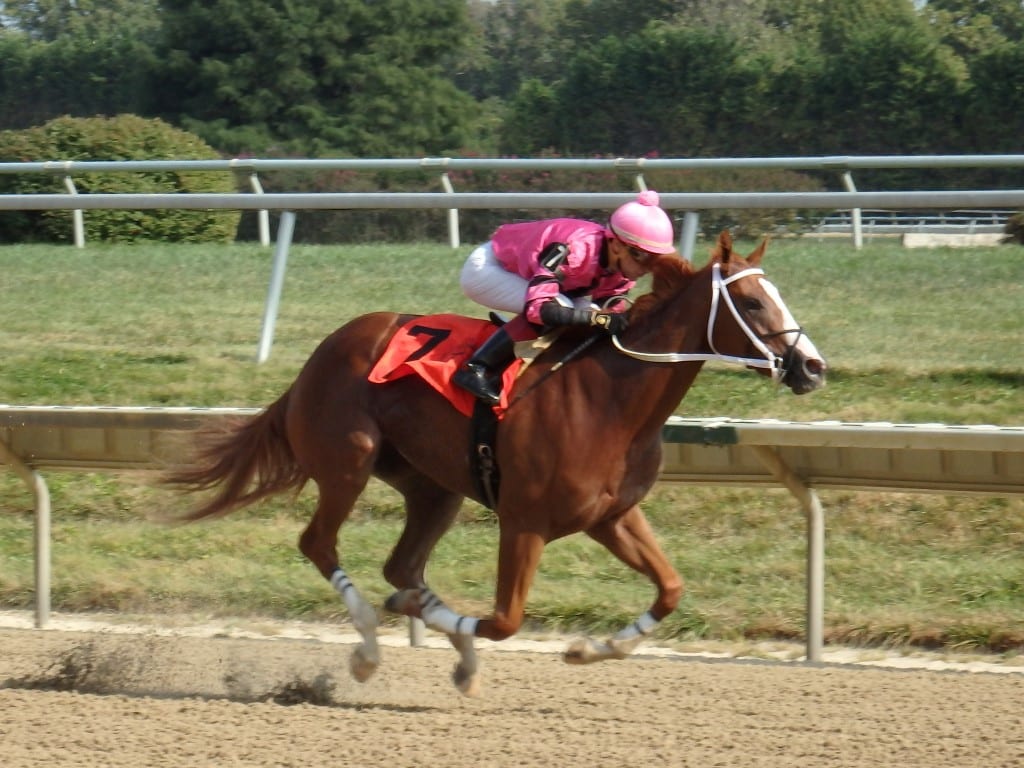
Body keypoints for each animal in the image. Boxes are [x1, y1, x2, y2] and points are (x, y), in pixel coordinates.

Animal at [165, 230, 823, 696]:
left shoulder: (612, 516)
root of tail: (320, 354)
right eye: (751, 302)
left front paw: (589, 650)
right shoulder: (524, 521)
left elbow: (670, 589)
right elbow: (506, 619)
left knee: (403, 566)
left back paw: (422, 621)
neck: (609, 399)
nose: (812, 367)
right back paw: (370, 648)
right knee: (320, 544)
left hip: (434, 487)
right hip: (347, 461)